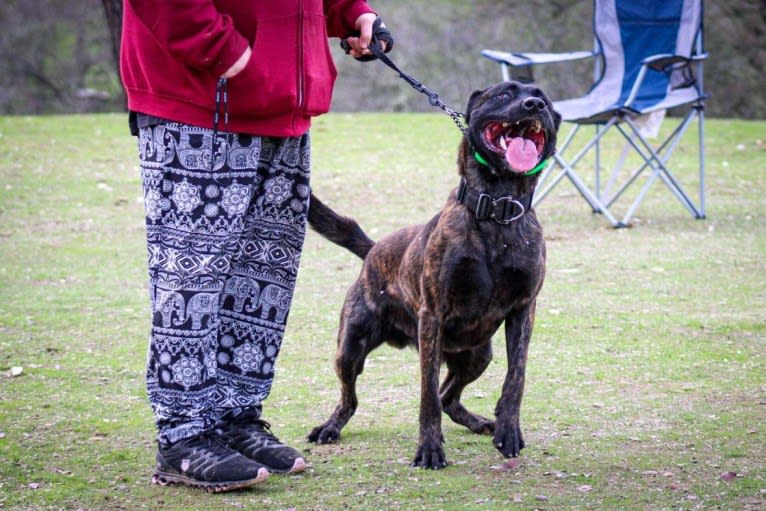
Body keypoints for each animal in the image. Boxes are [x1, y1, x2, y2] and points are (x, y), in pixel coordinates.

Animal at [306, 81, 564, 472]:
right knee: (352, 399)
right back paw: (330, 426)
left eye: (545, 101)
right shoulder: (433, 316)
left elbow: (515, 378)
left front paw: (508, 428)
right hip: (351, 346)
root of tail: (375, 249)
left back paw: (480, 422)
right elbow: (427, 394)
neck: (497, 211)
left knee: (449, 397)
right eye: (504, 95)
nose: (533, 105)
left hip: (477, 356)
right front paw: (429, 448)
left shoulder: (524, 310)